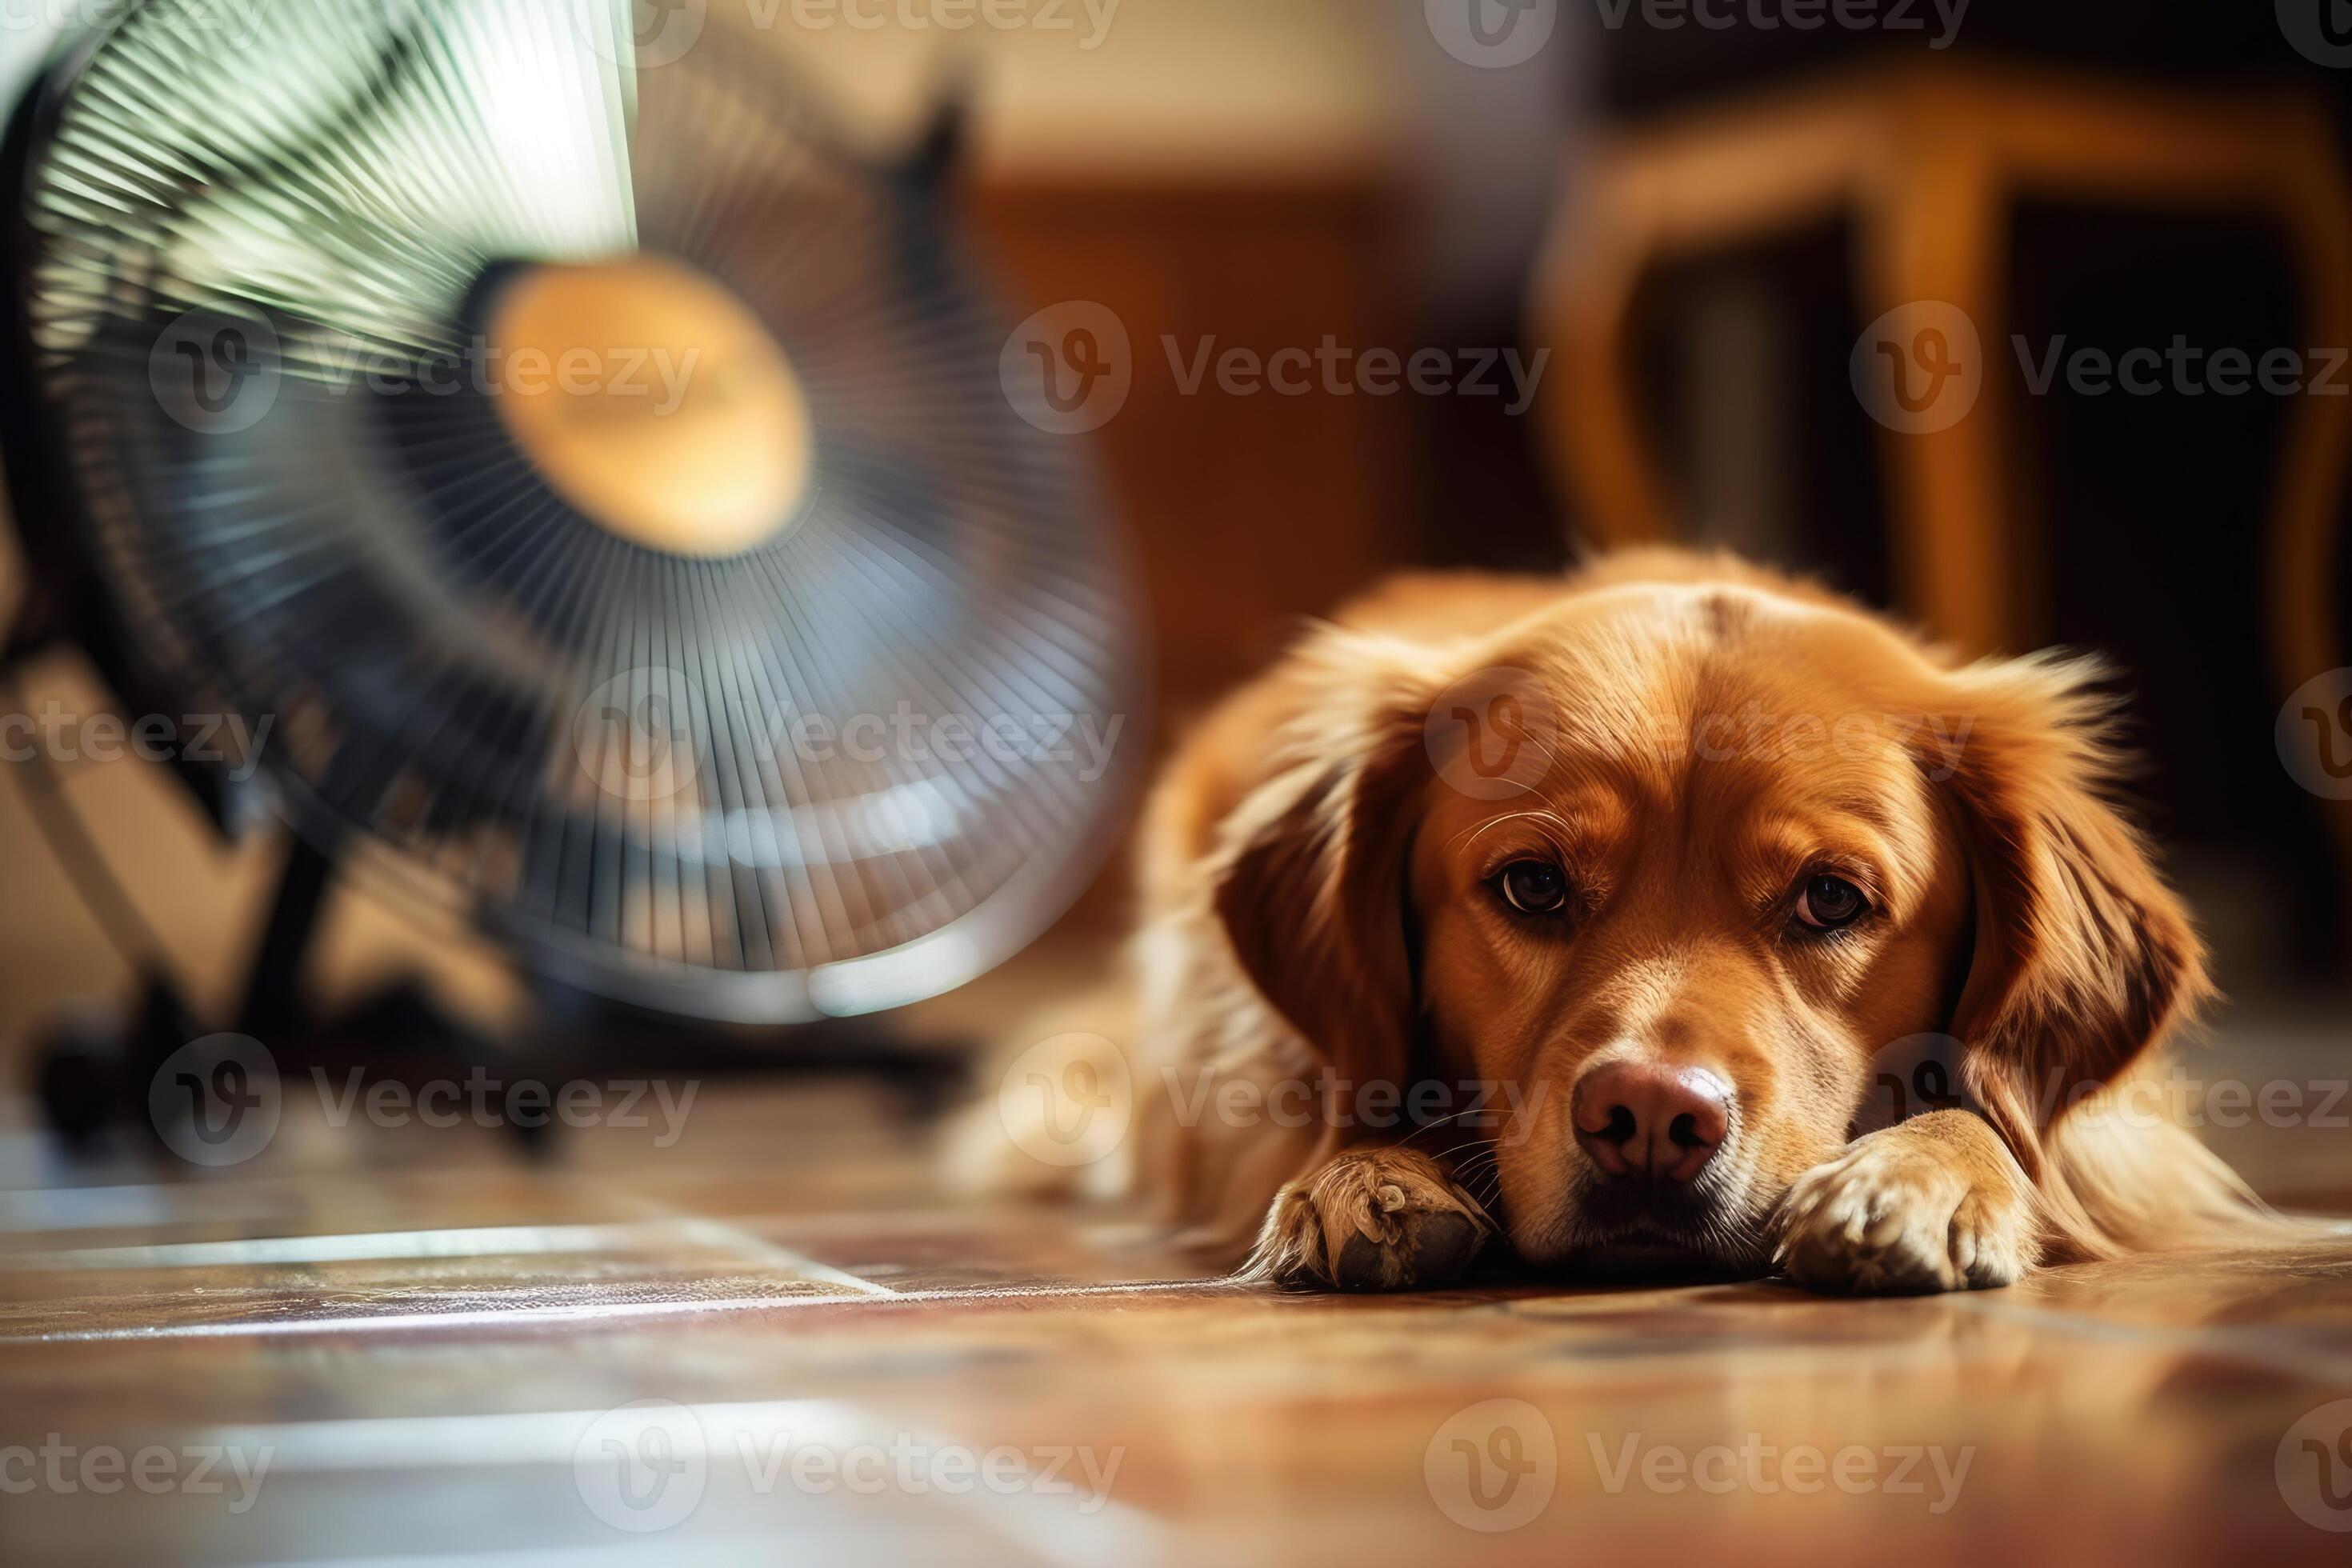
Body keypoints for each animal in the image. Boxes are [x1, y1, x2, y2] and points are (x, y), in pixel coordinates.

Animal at [964, 552, 2286, 1298]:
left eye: (1832, 899)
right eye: (1532, 886)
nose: (1650, 1118)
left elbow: (2003, 1118)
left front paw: (1917, 1178)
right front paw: (1364, 1179)